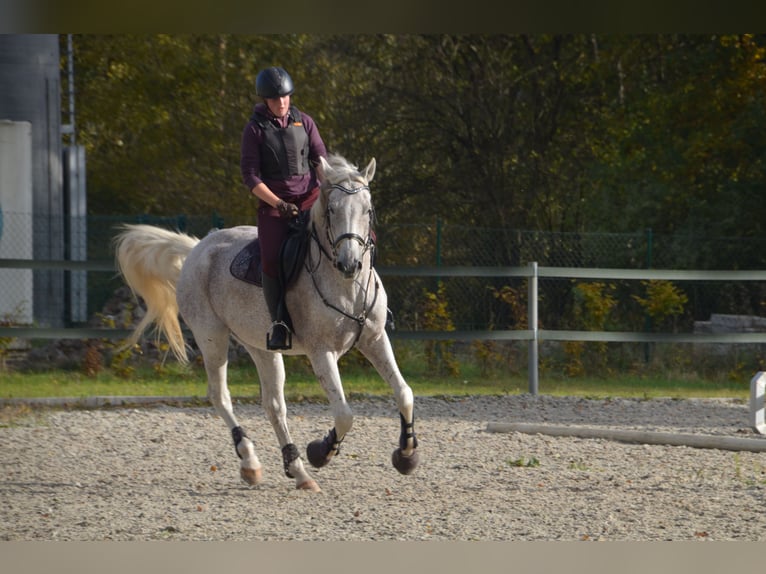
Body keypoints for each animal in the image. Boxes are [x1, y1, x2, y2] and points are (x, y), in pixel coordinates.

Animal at [115, 155, 420, 492]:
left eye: (368, 209)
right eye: (331, 210)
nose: (349, 264)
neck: (346, 286)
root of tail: (198, 247)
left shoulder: (375, 340)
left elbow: (405, 393)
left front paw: (407, 455)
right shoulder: (321, 352)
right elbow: (344, 414)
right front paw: (320, 452)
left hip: (261, 347)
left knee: (273, 405)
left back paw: (298, 471)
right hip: (211, 337)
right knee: (220, 395)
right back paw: (251, 462)